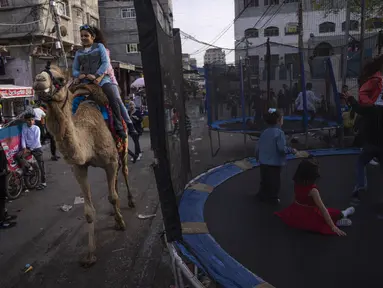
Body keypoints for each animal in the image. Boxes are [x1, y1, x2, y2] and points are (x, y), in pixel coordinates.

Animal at [32, 64, 135, 266]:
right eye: (39, 74)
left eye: (60, 79)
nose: (39, 80)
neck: (88, 139)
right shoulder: (79, 168)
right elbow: (88, 211)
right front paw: (90, 255)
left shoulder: (110, 161)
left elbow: (111, 197)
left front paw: (120, 223)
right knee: (116, 179)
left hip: (124, 143)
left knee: (125, 170)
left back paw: (129, 201)